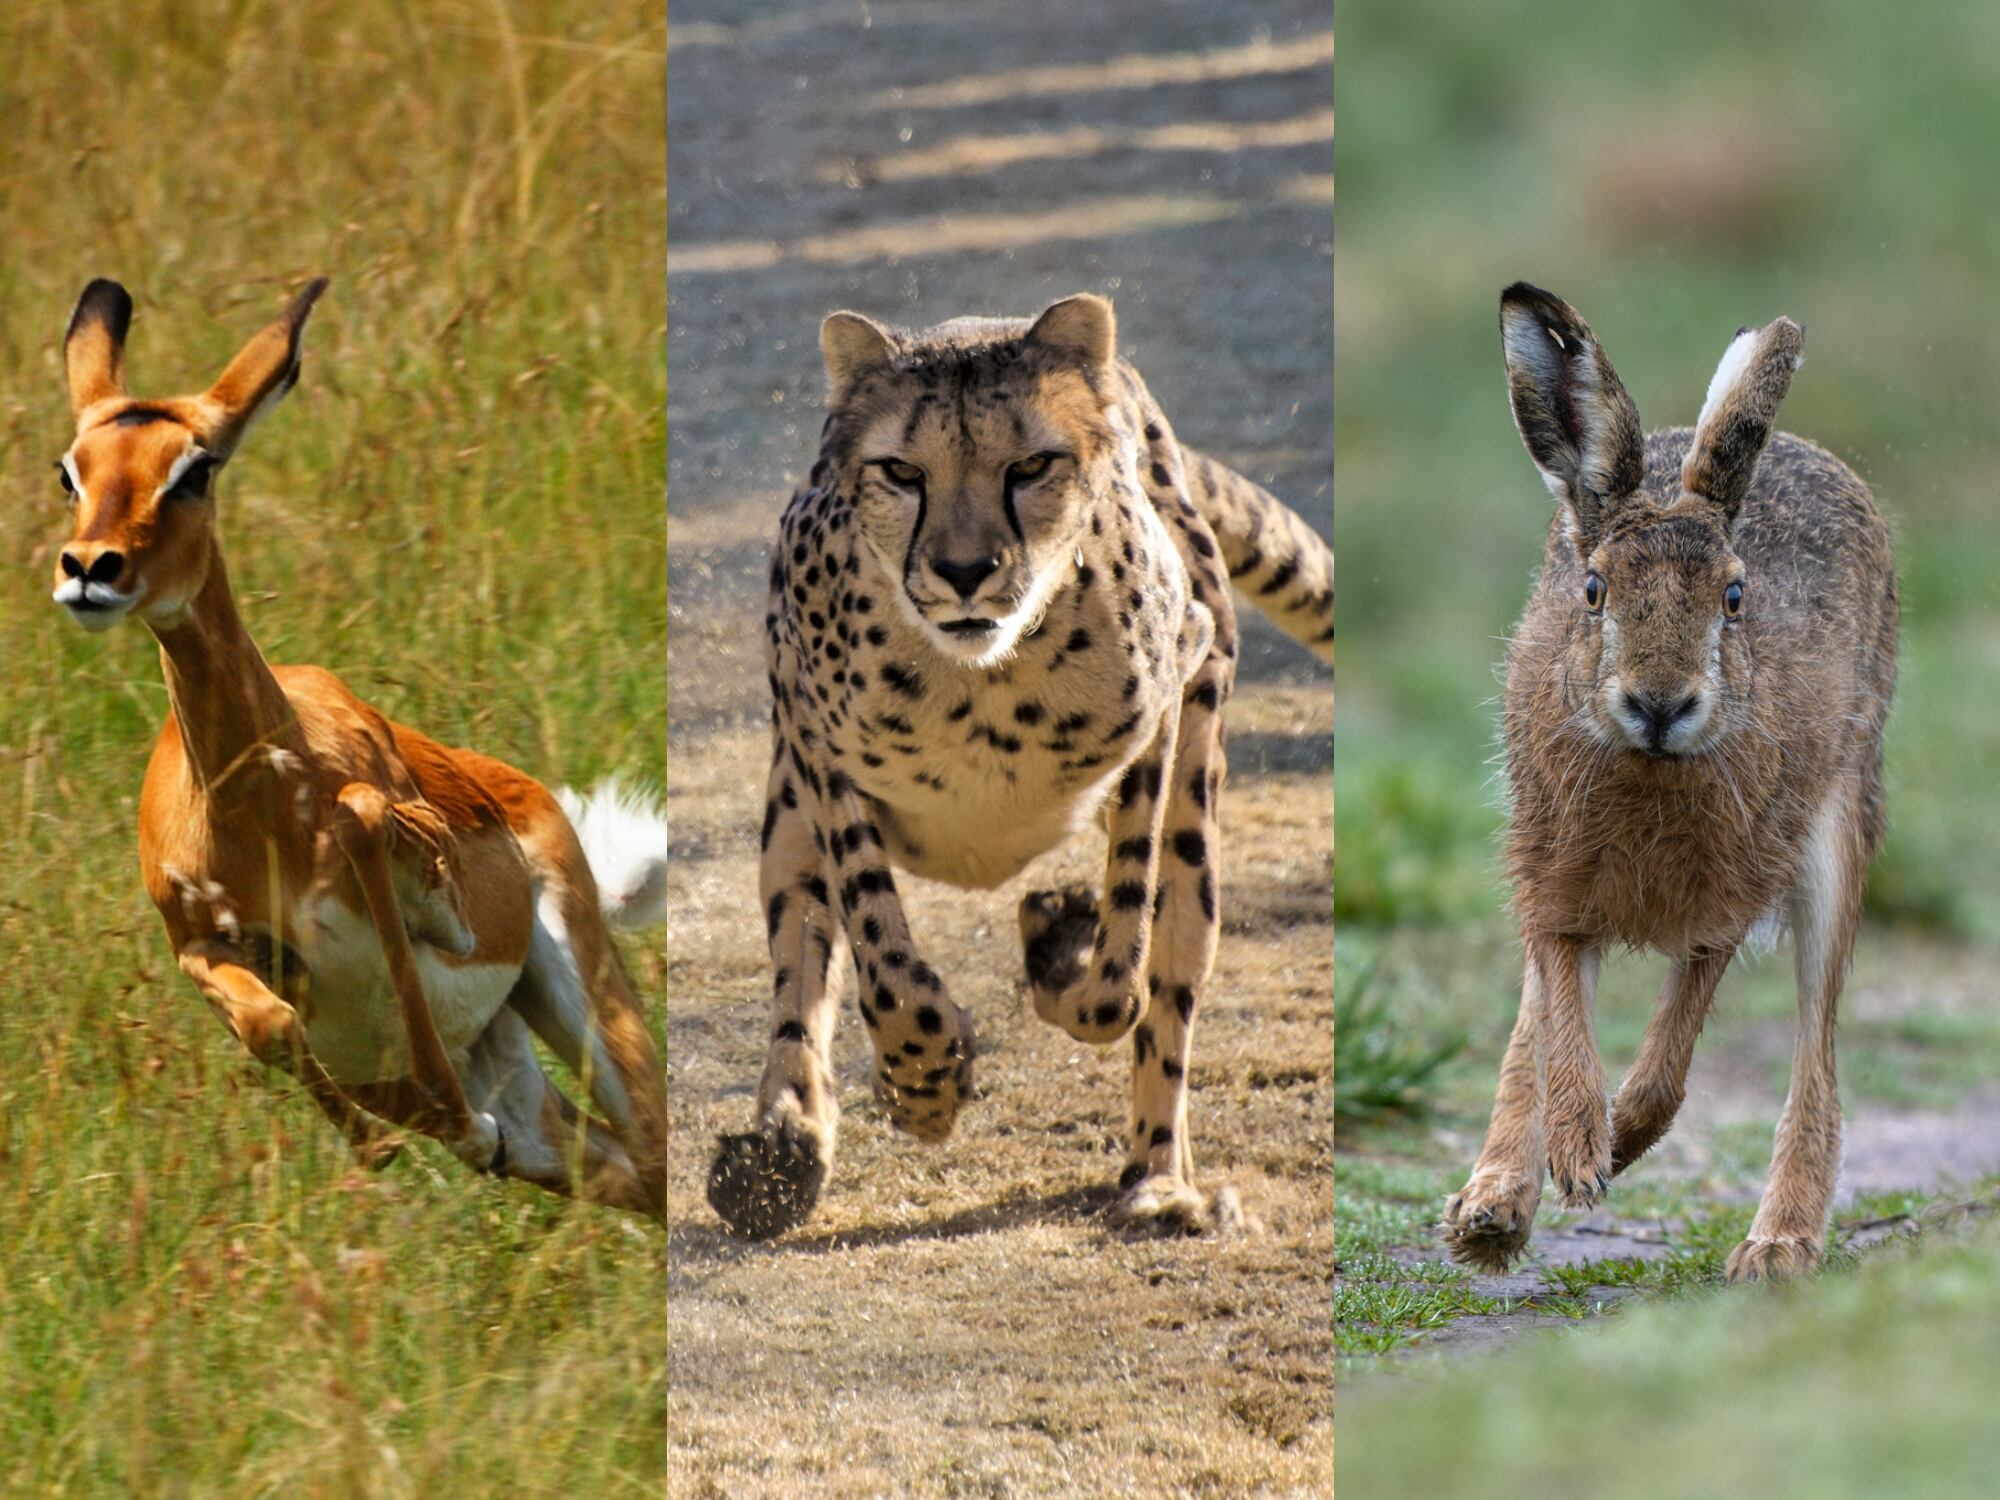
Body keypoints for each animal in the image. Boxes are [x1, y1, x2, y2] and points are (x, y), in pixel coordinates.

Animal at [51, 277, 667, 1218]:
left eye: (196, 468)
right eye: (70, 470)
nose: (91, 567)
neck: (254, 816)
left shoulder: (399, 852)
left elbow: (365, 818)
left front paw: (443, 1125)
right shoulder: (197, 943)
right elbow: (272, 1021)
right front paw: (388, 1143)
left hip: (586, 1000)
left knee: (655, 1150)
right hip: (523, 1089)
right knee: (623, 1167)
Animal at [704, 293, 1332, 1238]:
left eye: (1032, 465)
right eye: (902, 472)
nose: (964, 570)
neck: (984, 680)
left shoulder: (1173, 692)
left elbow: (1121, 977)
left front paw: (1060, 946)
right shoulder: (809, 730)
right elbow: (879, 948)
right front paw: (923, 1082)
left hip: (1198, 814)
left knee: (1168, 983)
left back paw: (1159, 1180)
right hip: (785, 818)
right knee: (799, 971)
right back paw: (780, 1152)